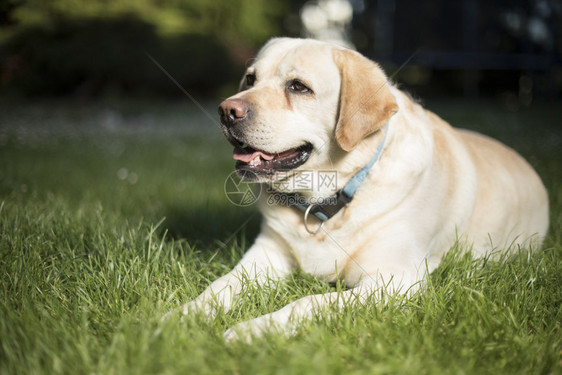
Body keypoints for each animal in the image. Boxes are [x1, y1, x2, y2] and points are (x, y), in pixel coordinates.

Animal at [173, 39, 544, 344]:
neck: (327, 201)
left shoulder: (396, 281)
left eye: (298, 87)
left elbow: (307, 302)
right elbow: (219, 286)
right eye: (250, 79)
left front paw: (253, 329)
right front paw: (180, 318)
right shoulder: (265, 255)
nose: (226, 111)